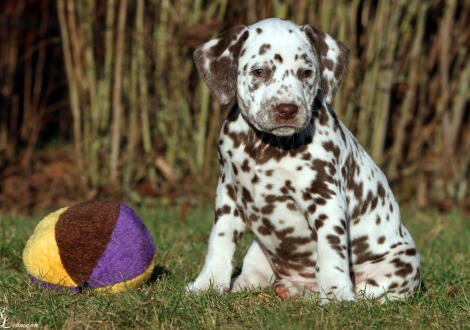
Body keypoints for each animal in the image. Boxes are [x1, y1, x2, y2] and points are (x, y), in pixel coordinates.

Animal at [185, 17, 420, 302]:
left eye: (306, 73)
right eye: (259, 72)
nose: (287, 109)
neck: (266, 146)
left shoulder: (326, 199)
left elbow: (331, 253)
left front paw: (337, 295)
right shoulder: (228, 194)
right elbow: (219, 242)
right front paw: (207, 284)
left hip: (400, 265)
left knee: (365, 291)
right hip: (258, 248)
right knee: (256, 278)